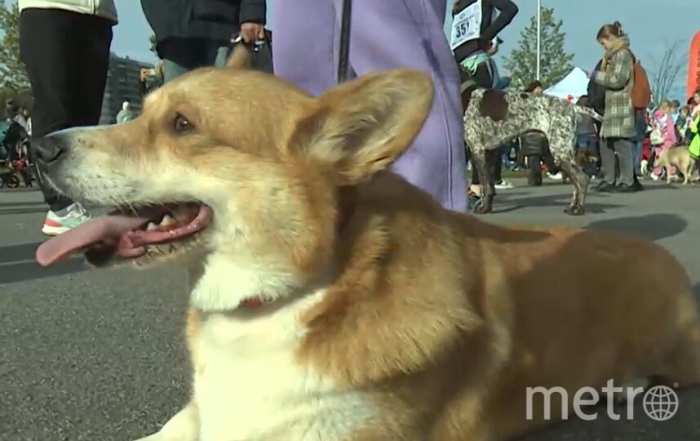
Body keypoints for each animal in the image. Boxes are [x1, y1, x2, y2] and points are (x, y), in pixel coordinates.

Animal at [462, 84, 600, 215]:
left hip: (560, 152)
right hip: (564, 153)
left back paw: (579, 209)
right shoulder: (490, 152)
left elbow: (484, 184)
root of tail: (572, 107)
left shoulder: (477, 149)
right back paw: (572, 207)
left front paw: (484, 208)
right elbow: (490, 185)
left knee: (582, 179)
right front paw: (488, 206)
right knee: (575, 182)